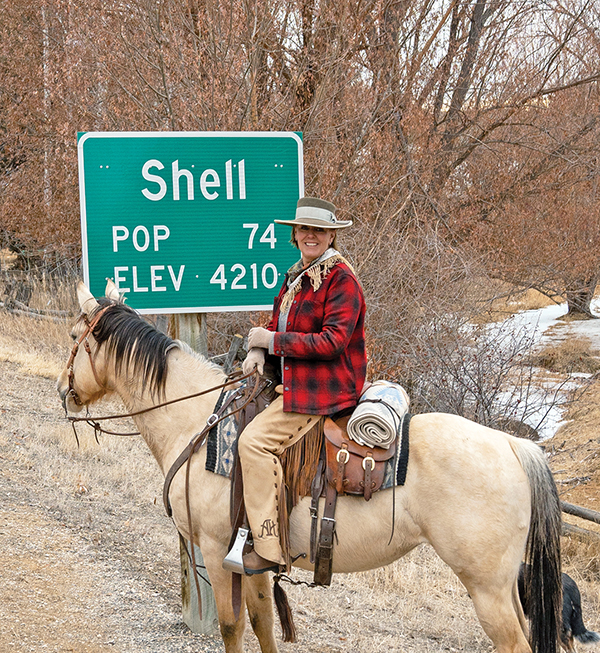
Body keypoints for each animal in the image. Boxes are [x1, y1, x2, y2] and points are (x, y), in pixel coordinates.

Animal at [56, 282, 564, 652]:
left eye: (75, 338)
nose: (65, 392)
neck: (198, 422)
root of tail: (515, 446)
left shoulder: (218, 553)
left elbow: (231, 628)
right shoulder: (252, 559)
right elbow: (263, 623)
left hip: (487, 588)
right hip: (506, 588)